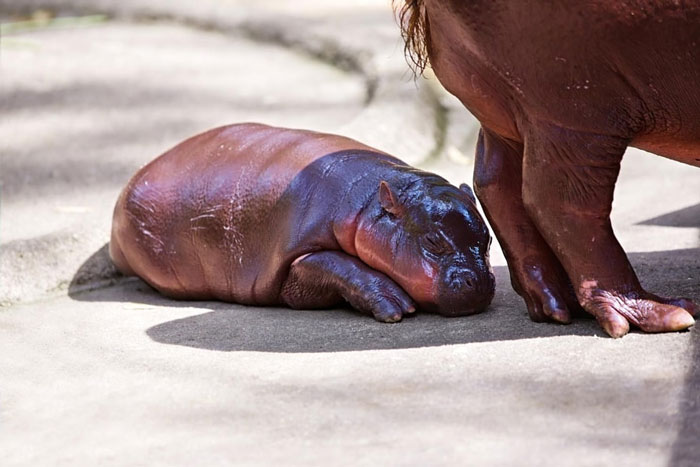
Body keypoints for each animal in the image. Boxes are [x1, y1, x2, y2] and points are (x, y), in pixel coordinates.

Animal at [110, 123, 495, 321]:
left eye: (488, 239)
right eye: (433, 242)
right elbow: (340, 265)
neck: (368, 202)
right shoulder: (295, 257)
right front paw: (395, 307)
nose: (477, 280)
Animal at [395, 0, 699, 336]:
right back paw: (663, 313)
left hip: (510, 113)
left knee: (495, 183)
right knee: (559, 203)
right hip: (574, 105)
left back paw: (559, 304)